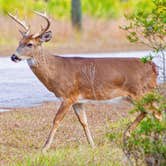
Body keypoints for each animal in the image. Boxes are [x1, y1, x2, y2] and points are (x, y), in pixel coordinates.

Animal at [8, 11, 160, 152]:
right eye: (19, 42)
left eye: (30, 44)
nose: (14, 57)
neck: (56, 71)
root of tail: (153, 67)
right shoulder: (78, 99)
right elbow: (84, 122)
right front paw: (93, 145)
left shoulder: (68, 96)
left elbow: (56, 120)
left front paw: (44, 148)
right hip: (135, 95)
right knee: (147, 112)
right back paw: (129, 134)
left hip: (141, 92)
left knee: (156, 112)